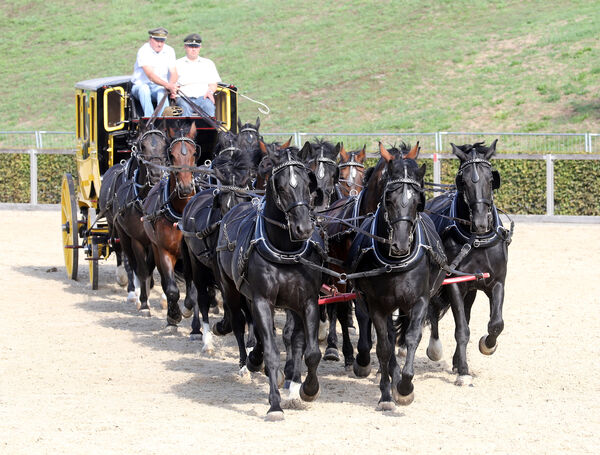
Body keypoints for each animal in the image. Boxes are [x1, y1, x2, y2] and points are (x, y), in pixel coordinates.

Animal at [142, 119, 198, 330]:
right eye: (172, 155)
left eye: (193, 153)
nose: (186, 187)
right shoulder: (164, 250)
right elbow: (172, 289)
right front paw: (173, 316)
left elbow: (194, 290)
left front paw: (189, 309)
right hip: (155, 248)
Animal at [217, 141, 324, 422]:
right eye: (282, 186)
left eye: (307, 184)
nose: (303, 229)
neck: (285, 249)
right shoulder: (262, 301)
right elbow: (272, 353)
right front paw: (275, 405)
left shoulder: (308, 300)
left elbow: (312, 352)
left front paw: (309, 389)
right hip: (232, 289)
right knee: (240, 322)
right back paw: (247, 362)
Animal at [344, 144, 448, 412]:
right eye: (388, 199)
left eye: (418, 201)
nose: (400, 245)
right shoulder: (377, 304)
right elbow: (383, 345)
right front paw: (387, 393)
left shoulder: (419, 300)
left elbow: (411, 337)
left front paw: (405, 386)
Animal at [422, 141, 510, 386]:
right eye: (464, 181)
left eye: (491, 179)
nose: (480, 223)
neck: (476, 241)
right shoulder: (453, 284)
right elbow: (461, 329)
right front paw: (463, 372)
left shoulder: (497, 282)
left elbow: (496, 323)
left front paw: (487, 345)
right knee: (434, 311)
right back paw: (435, 349)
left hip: (471, 289)